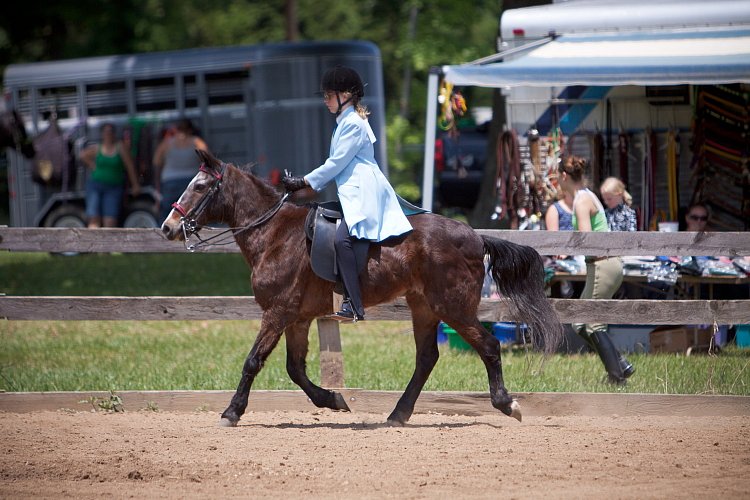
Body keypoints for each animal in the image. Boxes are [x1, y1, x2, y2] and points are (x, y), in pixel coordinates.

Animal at [163, 148, 564, 426]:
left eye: (200, 186)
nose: (168, 227)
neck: (274, 235)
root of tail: (476, 237)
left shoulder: (277, 313)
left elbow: (252, 361)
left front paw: (231, 412)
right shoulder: (296, 318)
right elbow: (295, 369)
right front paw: (333, 400)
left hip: (454, 308)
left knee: (489, 346)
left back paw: (507, 403)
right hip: (424, 307)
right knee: (426, 358)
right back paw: (398, 413)